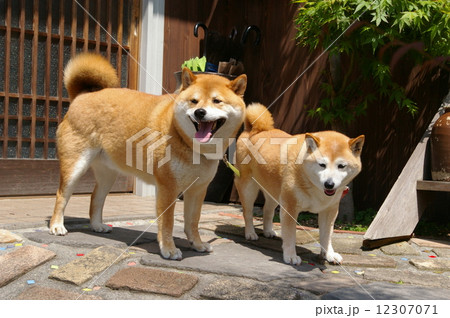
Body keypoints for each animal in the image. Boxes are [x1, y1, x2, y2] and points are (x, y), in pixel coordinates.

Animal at [49, 52, 246, 260]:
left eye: (217, 101)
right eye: (194, 101)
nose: (200, 112)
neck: (190, 144)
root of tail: (82, 96)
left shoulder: (198, 189)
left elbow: (193, 221)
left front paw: (198, 244)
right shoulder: (167, 188)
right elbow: (167, 223)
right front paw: (169, 249)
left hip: (108, 174)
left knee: (96, 197)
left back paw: (97, 225)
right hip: (75, 167)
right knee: (61, 195)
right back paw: (57, 226)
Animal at [234, 103, 364, 264]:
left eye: (341, 166)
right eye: (322, 165)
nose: (329, 184)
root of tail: (252, 130)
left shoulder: (330, 210)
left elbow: (327, 235)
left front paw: (329, 254)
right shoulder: (290, 207)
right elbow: (290, 234)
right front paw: (290, 255)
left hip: (274, 193)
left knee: (267, 210)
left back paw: (268, 231)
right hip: (248, 188)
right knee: (248, 212)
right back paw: (251, 233)